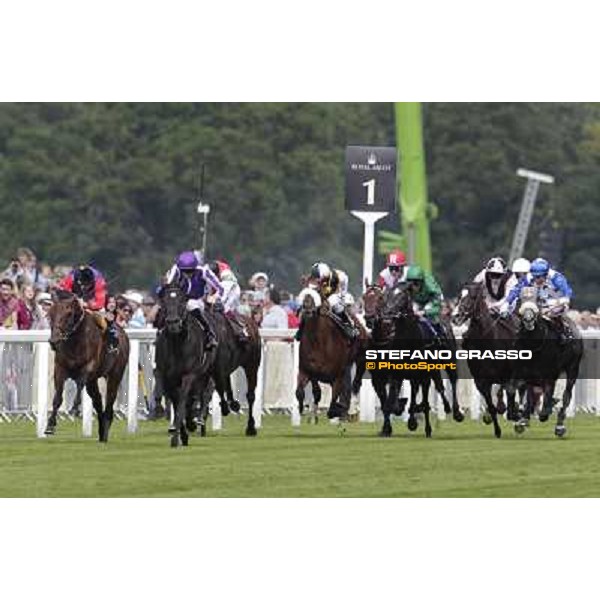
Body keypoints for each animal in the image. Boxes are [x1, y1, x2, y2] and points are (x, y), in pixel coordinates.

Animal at [46, 290, 130, 440]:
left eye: (69, 314)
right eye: (51, 313)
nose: (54, 341)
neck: (75, 342)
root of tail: (123, 334)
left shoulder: (88, 368)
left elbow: (79, 384)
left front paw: (74, 408)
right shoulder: (60, 369)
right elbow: (57, 397)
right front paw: (50, 425)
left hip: (115, 375)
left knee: (109, 400)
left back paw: (106, 427)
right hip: (93, 382)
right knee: (97, 401)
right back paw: (102, 430)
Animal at [157, 284, 216, 446]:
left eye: (183, 301)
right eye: (164, 302)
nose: (173, 323)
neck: (178, 344)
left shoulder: (189, 374)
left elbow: (183, 399)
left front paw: (177, 436)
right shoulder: (167, 377)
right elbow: (176, 401)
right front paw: (181, 434)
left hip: (205, 373)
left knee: (204, 393)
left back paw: (199, 421)